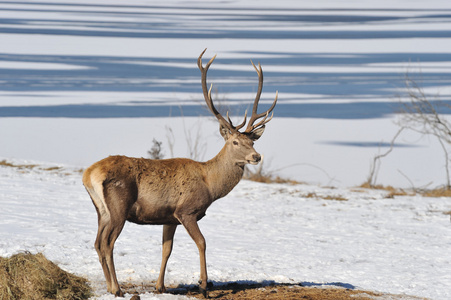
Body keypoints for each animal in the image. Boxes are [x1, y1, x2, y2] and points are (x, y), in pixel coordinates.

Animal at [82, 49, 278, 298]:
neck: (210, 184)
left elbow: (167, 249)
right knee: (108, 243)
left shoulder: (169, 216)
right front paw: (203, 285)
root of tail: (88, 174)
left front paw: (160, 287)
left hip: (101, 210)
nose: (256, 156)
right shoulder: (186, 210)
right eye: (235, 142)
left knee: (98, 242)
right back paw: (117, 289)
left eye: (252, 142)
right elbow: (202, 242)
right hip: (119, 205)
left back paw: (109, 286)